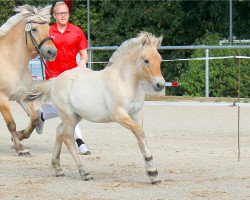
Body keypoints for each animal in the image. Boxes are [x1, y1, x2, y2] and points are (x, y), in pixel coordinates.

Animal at [0, 4, 56, 155]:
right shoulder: (2, 98)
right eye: (34, 29)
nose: (52, 52)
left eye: (48, 28)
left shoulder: (22, 96)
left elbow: (35, 119)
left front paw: (20, 136)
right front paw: (20, 149)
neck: (11, 61)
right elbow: (11, 124)